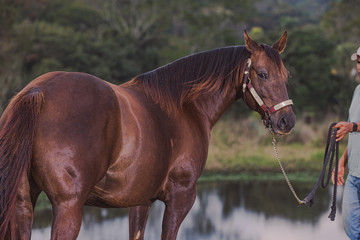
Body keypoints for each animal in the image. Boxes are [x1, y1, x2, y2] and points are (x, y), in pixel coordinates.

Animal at [0, 31, 296, 239]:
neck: (184, 106)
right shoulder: (180, 198)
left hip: (23, 205)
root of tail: (38, 91)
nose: (287, 121)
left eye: (286, 75)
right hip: (68, 207)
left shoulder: (140, 202)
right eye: (262, 74)